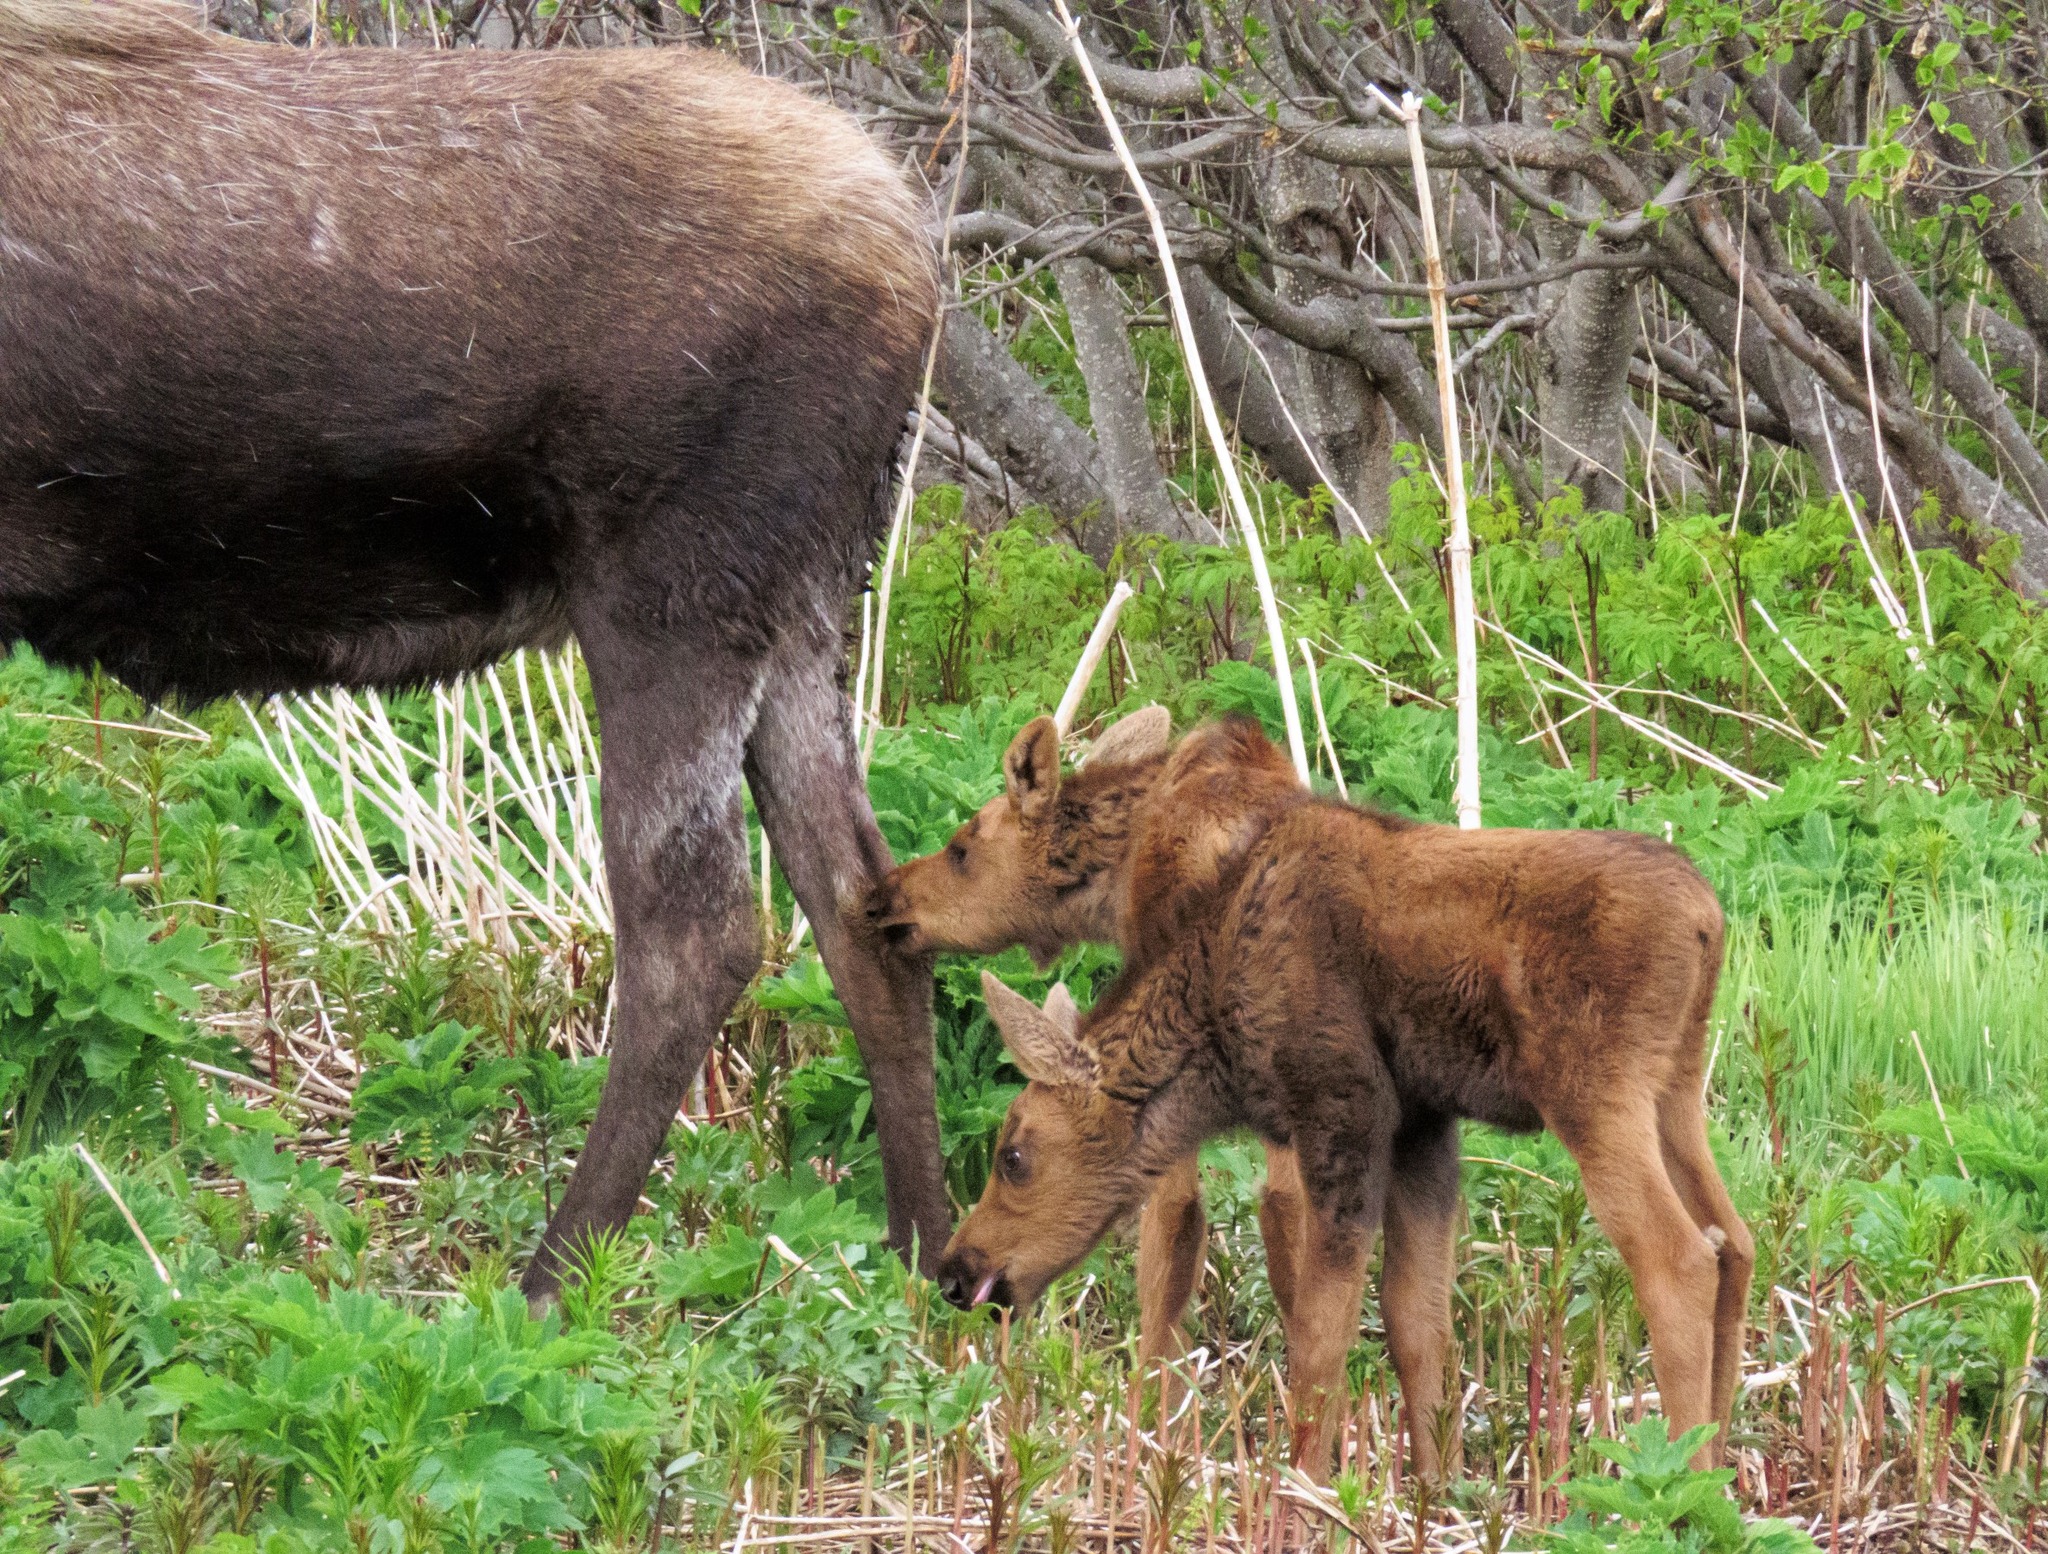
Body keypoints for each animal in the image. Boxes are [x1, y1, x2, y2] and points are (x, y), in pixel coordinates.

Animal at [1, 0, 951, 1298]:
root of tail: (912, 249)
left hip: (671, 594)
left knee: (696, 933)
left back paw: (553, 1283)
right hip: (799, 605)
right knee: (857, 898)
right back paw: (929, 1266)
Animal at [879, 717, 1752, 1475]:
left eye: (1015, 1155)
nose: (955, 1269)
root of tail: (1710, 918)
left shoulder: (1340, 1109)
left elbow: (1292, 1321)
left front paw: (1283, 1480)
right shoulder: (1423, 1126)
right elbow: (1413, 1321)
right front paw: (1429, 1490)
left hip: (1593, 1098)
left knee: (1678, 1258)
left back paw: (1677, 1480)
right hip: (1677, 1091)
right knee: (1735, 1240)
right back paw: (1717, 1472)